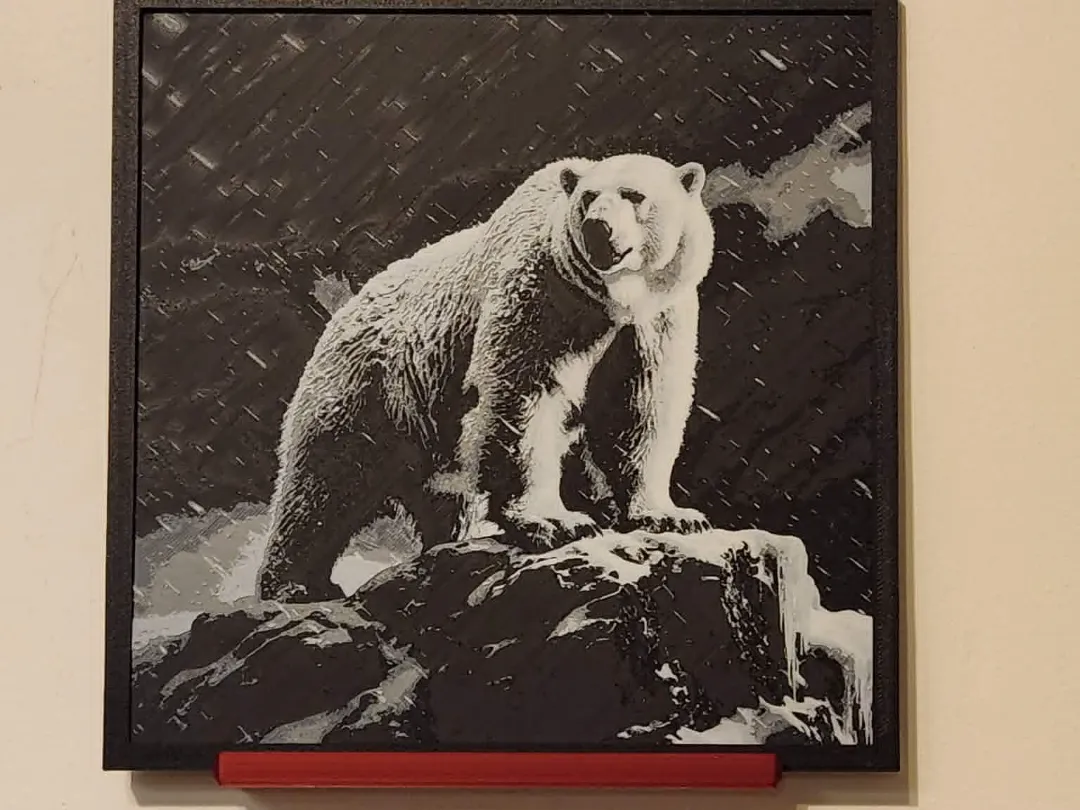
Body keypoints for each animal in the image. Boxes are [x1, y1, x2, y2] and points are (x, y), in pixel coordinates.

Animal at [257, 153, 716, 603]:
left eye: (634, 195)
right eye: (587, 198)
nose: (597, 228)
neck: (611, 301)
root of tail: (343, 310)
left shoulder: (651, 323)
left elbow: (638, 408)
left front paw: (670, 516)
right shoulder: (541, 295)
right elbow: (523, 394)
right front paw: (556, 522)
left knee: (442, 499)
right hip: (371, 386)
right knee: (325, 480)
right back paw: (294, 583)